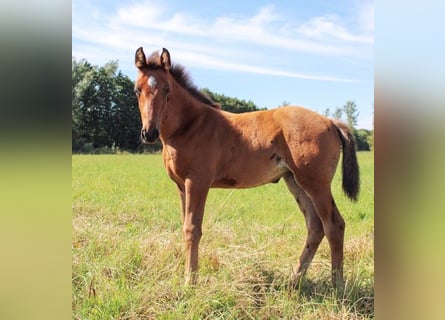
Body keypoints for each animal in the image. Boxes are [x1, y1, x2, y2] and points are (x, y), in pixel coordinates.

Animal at [134, 46, 360, 286]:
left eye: (166, 89)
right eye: (137, 90)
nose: (149, 133)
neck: (190, 125)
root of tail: (331, 122)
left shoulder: (197, 182)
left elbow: (192, 228)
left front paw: (190, 282)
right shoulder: (180, 185)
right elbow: (184, 225)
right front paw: (188, 278)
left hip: (317, 184)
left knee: (334, 225)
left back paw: (337, 285)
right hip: (295, 181)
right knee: (315, 226)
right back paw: (294, 280)